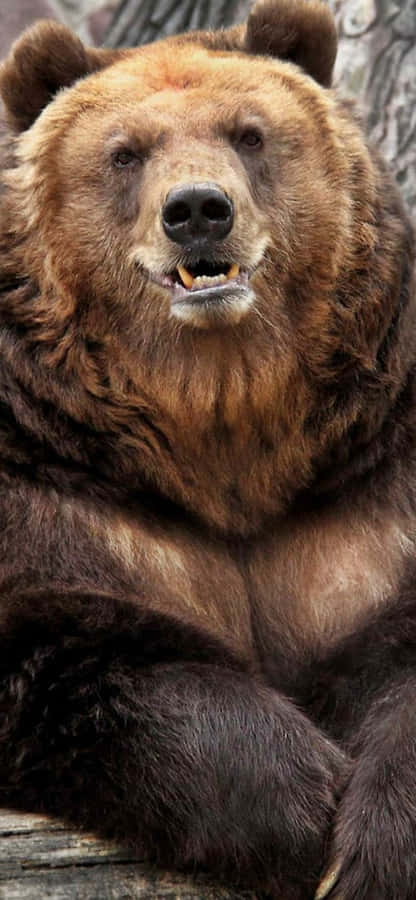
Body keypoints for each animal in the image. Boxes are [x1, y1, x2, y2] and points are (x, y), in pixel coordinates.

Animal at [0, 1, 415, 897]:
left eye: (249, 134)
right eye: (125, 152)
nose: (197, 210)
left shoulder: (367, 484)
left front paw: (374, 848)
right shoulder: (60, 483)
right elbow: (74, 650)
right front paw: (302, 809)